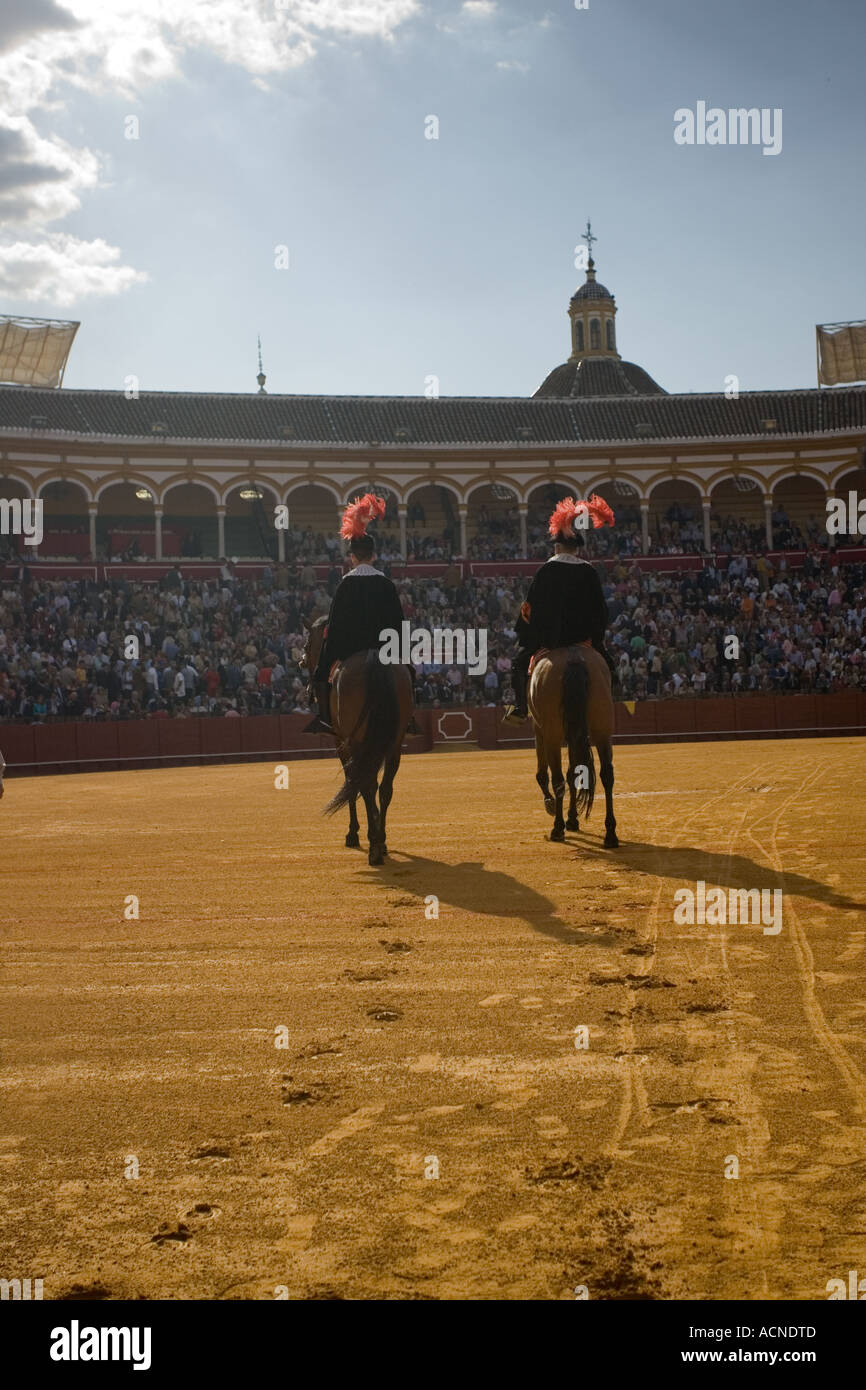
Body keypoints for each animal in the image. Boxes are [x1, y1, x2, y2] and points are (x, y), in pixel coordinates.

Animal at [303, 617, 414, 861]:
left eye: (308, 645)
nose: (301, 661)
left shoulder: (342, 744)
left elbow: (351, 784)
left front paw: (353, 833)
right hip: (393, 745)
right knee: (384, 789)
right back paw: (380, 839)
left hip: (357, 743)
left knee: (366, 786)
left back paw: (374, 846)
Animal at [528, 647, 617, 850]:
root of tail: (573, 656)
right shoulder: (573, 736)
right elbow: (574, 773)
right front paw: (573, 819)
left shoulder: (539, 729)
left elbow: (544, 774)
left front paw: (551, 805)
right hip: (602, 730)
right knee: (607, 774)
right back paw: (610, 833)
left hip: (552, 735)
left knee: (557, 779)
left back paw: (557, 828)